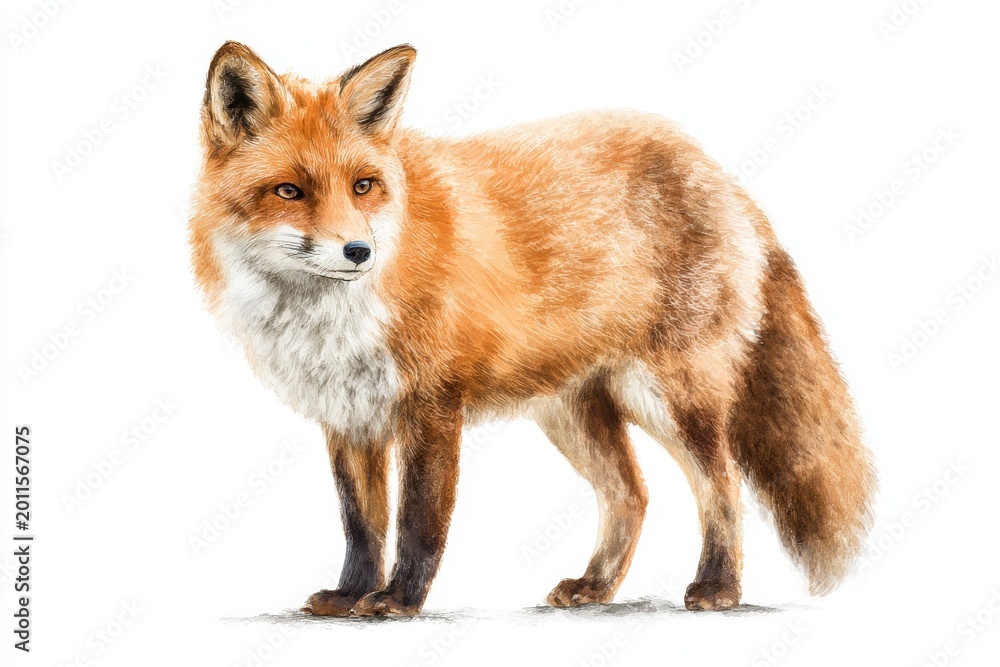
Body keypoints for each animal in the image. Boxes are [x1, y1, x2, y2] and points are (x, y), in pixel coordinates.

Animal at [189, 42, 876, 617]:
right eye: (289, 191)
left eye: (363, 185)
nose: (358, 251)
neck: (329, 318)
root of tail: (721, 176)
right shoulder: (348, 417)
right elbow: (361, 525)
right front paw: (350, 596)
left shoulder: (431, 405)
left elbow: (418, 520)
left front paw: (398, 602)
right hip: (571, 412)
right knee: (631, 493)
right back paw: (596, 587)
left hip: (670, 395)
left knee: (721, 484)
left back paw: (718, 587)